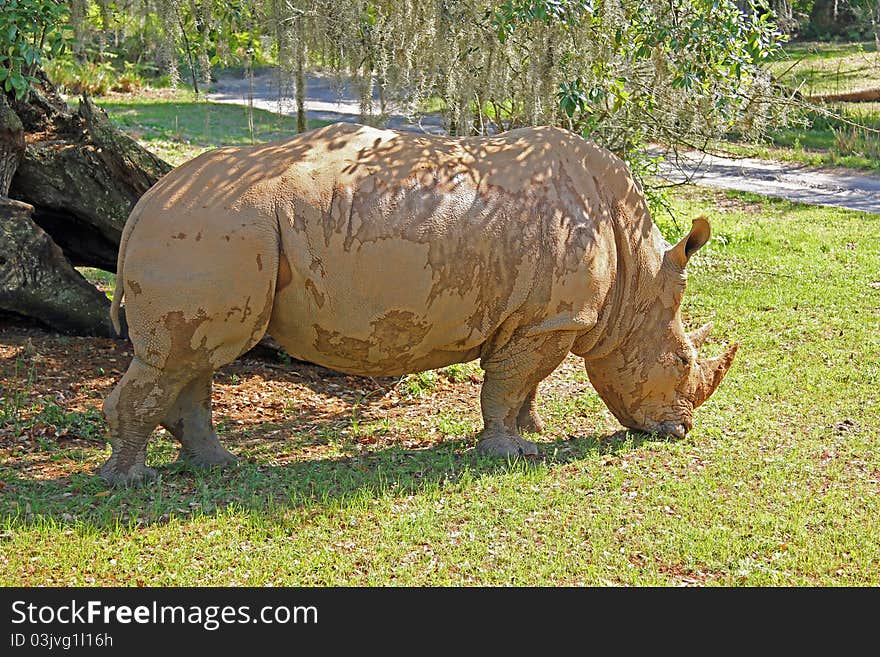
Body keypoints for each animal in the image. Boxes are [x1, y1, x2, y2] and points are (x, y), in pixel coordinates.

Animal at [101, 120, 736, 484]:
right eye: (683, 361)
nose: (679, 431)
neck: (638, 278)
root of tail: (142, 205)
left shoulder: (540, 319)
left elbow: (524, 384)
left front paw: (531, 433)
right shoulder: (550, 320)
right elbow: (509, 384)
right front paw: (510, 454)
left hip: (213, 228)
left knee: (193, 357)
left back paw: (217, 466)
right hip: (213, 226)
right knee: (181, 358)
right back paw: (130, 482)